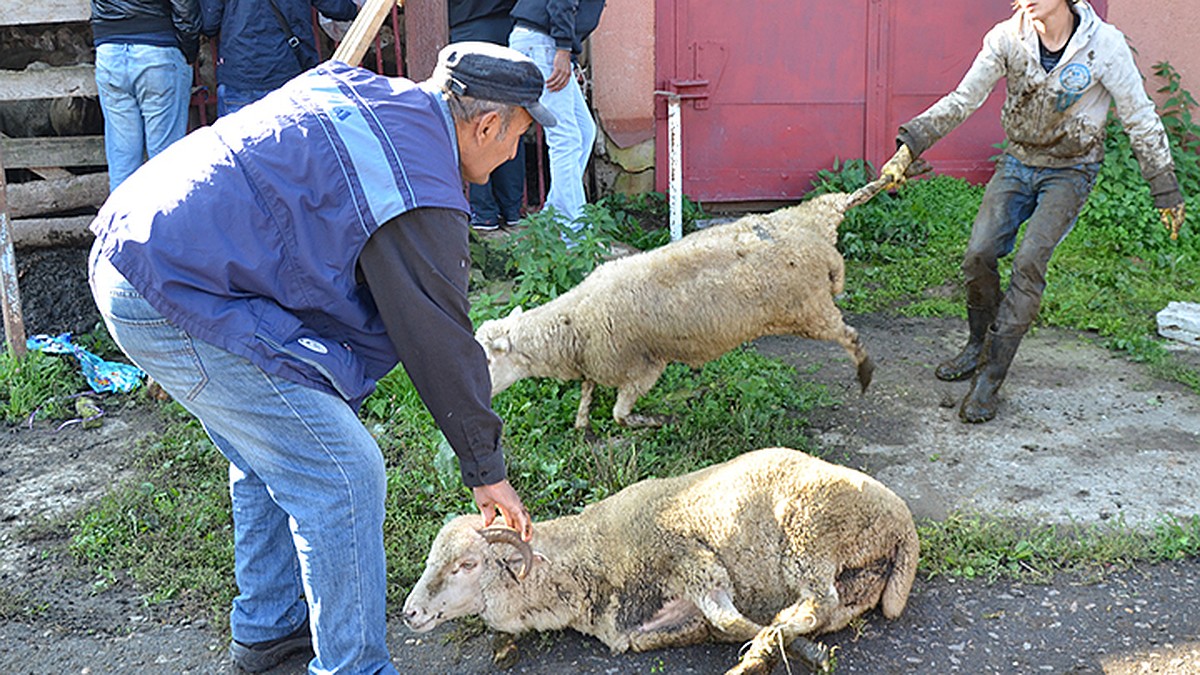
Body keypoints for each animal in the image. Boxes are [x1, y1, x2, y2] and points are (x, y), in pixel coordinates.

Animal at [403, 446, 916, 672]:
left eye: (466, 565)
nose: (409, 613)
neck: (590, 550)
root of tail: (903, 524)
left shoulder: (690, 558)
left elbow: (733, 622)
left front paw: (775, 649)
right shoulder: (637, 632)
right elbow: (718, 626)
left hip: (809, 537)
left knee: (816, 604)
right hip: (852, 575)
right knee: (828, 609)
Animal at [472, 176, 897, 425]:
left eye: (488, 361)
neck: (573, 325)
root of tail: (820, 238)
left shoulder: (642, 369)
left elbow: (620, 414)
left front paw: (647, 423)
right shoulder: (596, 364)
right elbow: (588, 394)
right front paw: (581, 424)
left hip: (810, 309)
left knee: (848, 336)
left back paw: (865, 370)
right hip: (810, 245)